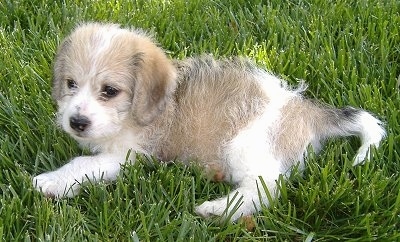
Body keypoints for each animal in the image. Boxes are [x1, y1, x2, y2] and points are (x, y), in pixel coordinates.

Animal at [33, 22, 384, 221]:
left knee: (266, 186)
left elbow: (83, 164)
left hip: (245, 145)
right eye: (70, 84)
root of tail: (306, 109)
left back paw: (218, 210)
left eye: (109, 91)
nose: (76, 122)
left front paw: (51, 182)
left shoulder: (128, 155)